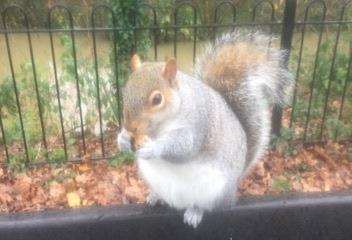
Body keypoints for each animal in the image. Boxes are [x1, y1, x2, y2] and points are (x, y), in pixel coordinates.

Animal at [117, 31, 292, 228]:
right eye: (125, 91)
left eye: (157, 99)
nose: (130, 126)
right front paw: (122, 139)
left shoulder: (199, 124)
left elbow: (184, 147)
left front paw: (152, 148)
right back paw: (155, 196)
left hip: (214, 191)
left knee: (207, 205)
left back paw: (195, 211)